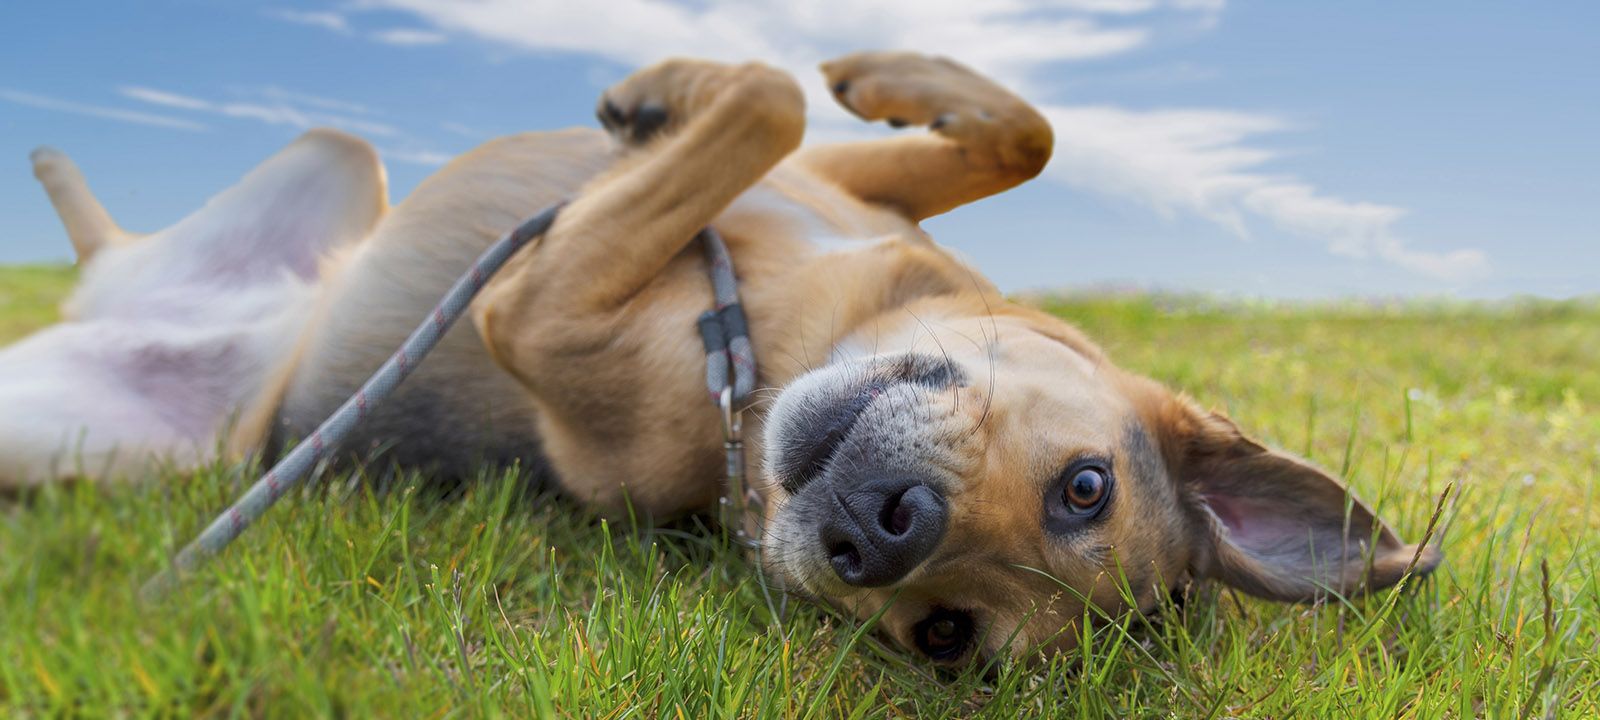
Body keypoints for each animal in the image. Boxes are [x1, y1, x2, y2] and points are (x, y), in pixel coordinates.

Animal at [0, 53, 1446, 665]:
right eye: (1083, 487)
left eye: (941, 639)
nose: (886, 530)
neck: (780, 334)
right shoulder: (848, 187)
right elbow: (992, 129)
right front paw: (812, 71)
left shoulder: (537, 308)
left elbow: (763, 104)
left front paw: (683, 91)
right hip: (336, 163)